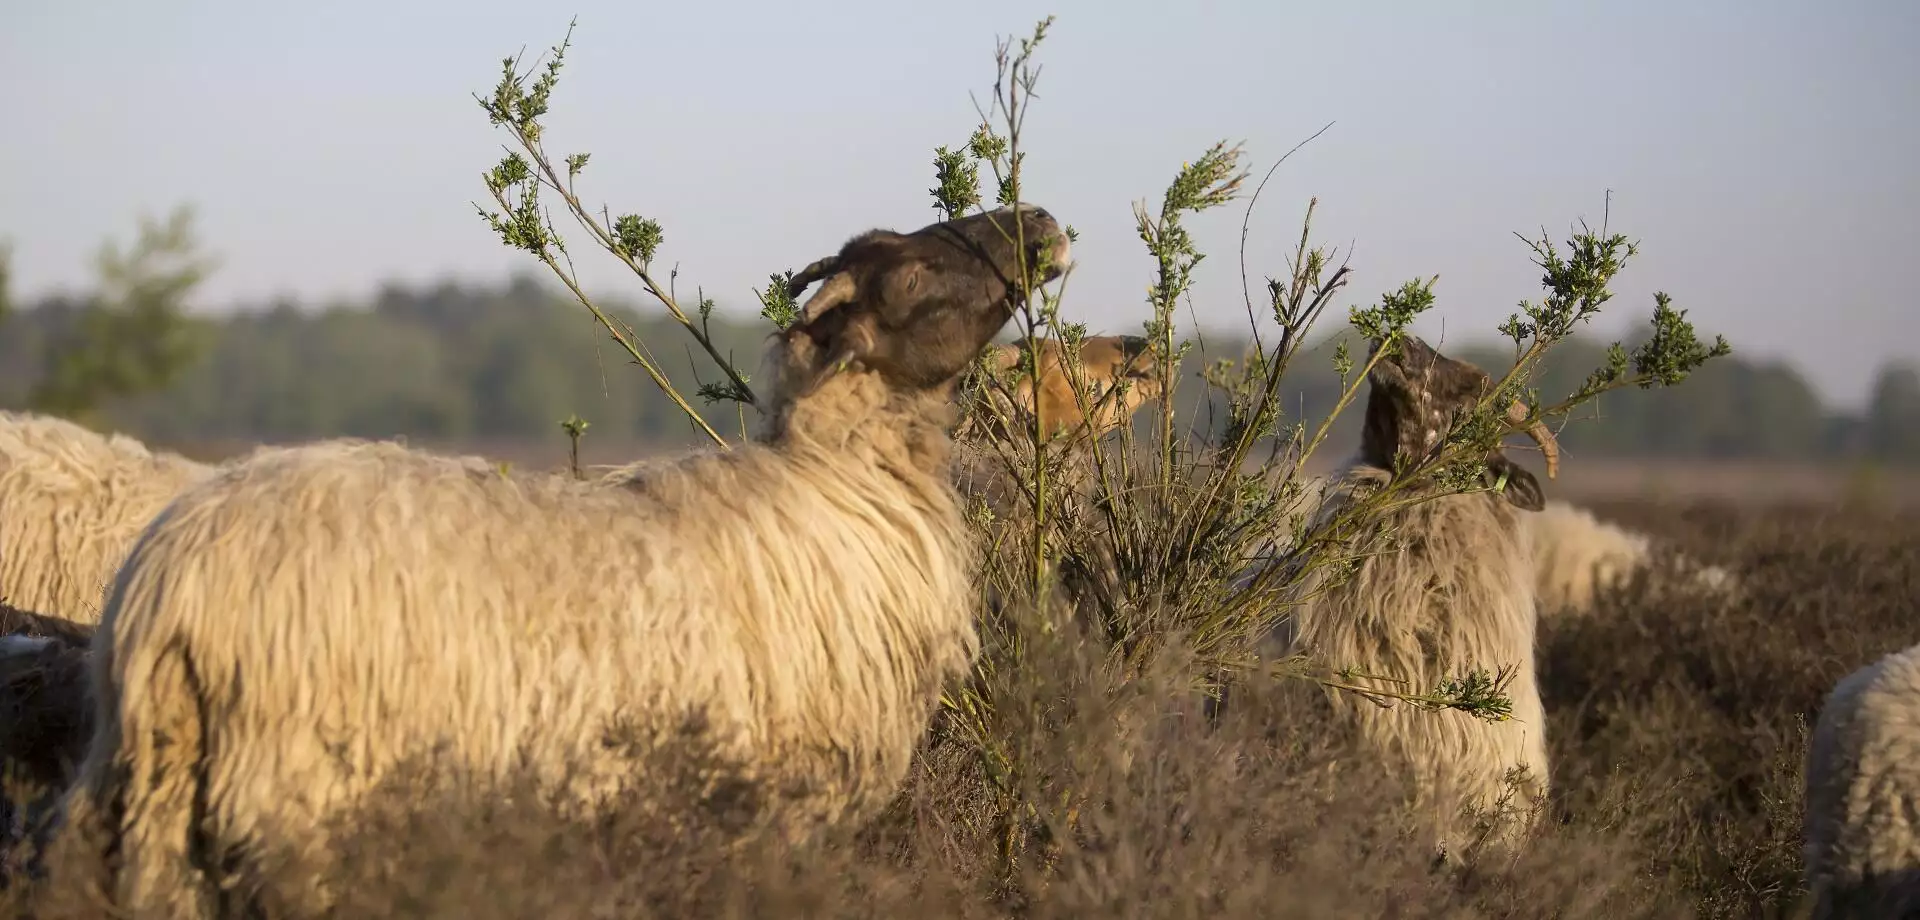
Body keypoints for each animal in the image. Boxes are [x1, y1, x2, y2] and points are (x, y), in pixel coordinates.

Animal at [56, 205, 1082, 918]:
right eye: (917, 270)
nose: (1042, 223)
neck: (831, 488)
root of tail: (163, 587)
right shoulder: (773, 813)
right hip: (297, 800)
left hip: (167, 814)